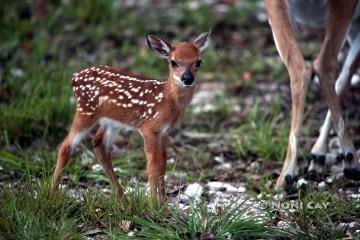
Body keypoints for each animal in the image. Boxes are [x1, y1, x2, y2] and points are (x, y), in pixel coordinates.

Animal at [51, 31, 211, 205]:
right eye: (173, 62)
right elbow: (153, 166)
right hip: (85, 111)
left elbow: (163, 163)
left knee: (99, 144)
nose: (187, 79)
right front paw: (155, 205)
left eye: (199, 62)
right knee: (66, 146)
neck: (167, 98)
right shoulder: (148, 127)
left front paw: (163, 204)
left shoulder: (164, 132)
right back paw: (53, 195)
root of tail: (74, 78)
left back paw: (123, 200)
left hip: (112, 121)